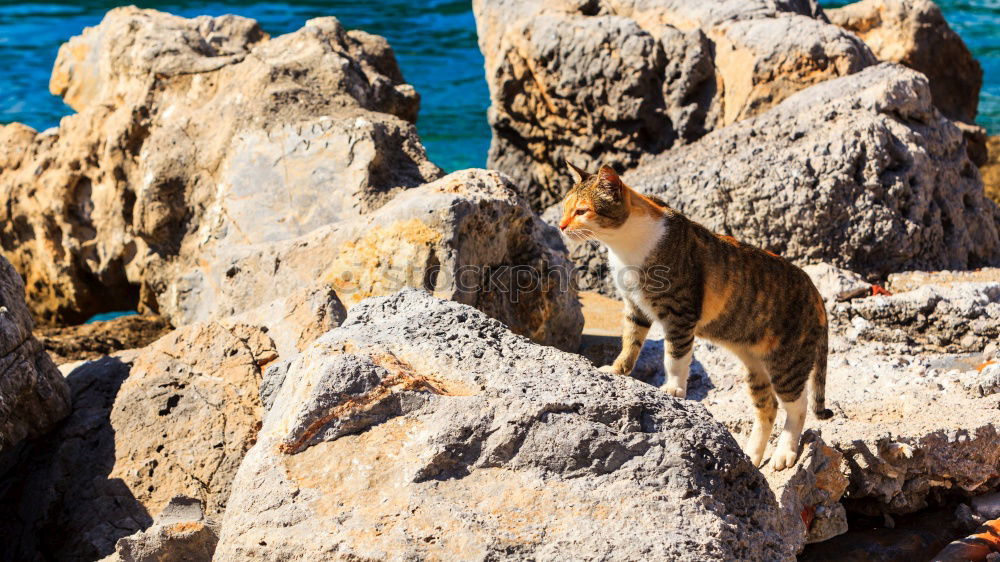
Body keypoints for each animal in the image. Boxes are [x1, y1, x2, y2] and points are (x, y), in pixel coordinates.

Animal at [560, 162, 832, 468]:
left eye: (581, 211)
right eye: (564, 208)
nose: (560, 226)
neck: (625, 247)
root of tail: (816, 293)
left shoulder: (680, 312)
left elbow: (675, 357)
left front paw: (673, 389)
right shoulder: (635, 308)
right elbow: (630, 343)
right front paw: (617, 370)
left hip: (787, 362)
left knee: (798, 406)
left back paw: (784, 453)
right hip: (755, 365)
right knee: (768, 407)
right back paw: (751, 455)